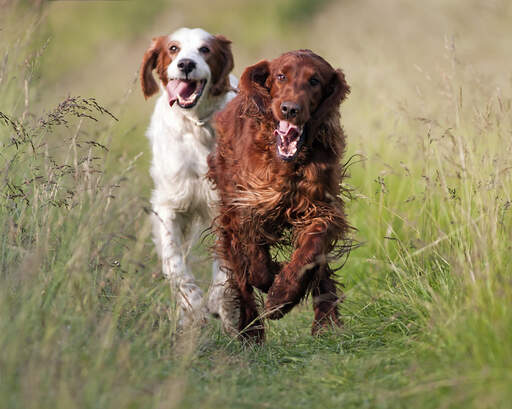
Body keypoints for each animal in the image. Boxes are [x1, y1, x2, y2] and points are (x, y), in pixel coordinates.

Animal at [139, 27, 237, 328]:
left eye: (205, 49)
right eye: (173, 48)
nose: (185, 64)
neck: (197, 126)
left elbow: (225, 267)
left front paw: (217, 301)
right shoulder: (170, 205)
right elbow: (174, 262)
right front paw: (192, 304)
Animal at [208, 49, 352, 340]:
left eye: (315, 81)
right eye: (280, 76)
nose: (290, 109)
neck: (287, 161)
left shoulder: (322, 208)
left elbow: (310, 251)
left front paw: (282, 296)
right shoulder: (248, 205)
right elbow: (255, 264)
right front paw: (272, 280)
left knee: (320, 271)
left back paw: (326, 322)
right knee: (242, 279)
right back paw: (251, 333)